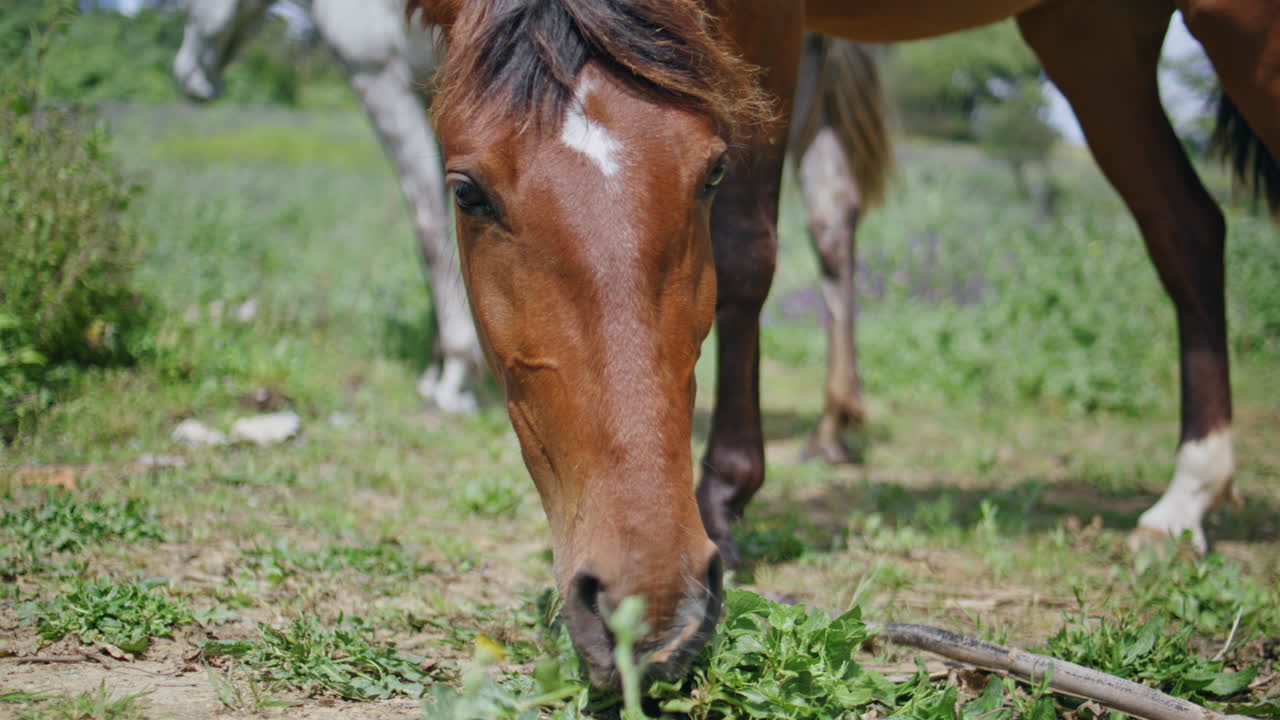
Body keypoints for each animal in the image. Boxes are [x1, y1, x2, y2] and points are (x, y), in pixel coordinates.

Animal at [403, 0, 1276, 688]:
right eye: (466, 192)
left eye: (710, 173)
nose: (644, 612)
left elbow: (748, 250)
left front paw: (726, 499)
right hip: (1092, 35)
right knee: (1187, 227)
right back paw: (1187, 494)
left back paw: (1194, 488)